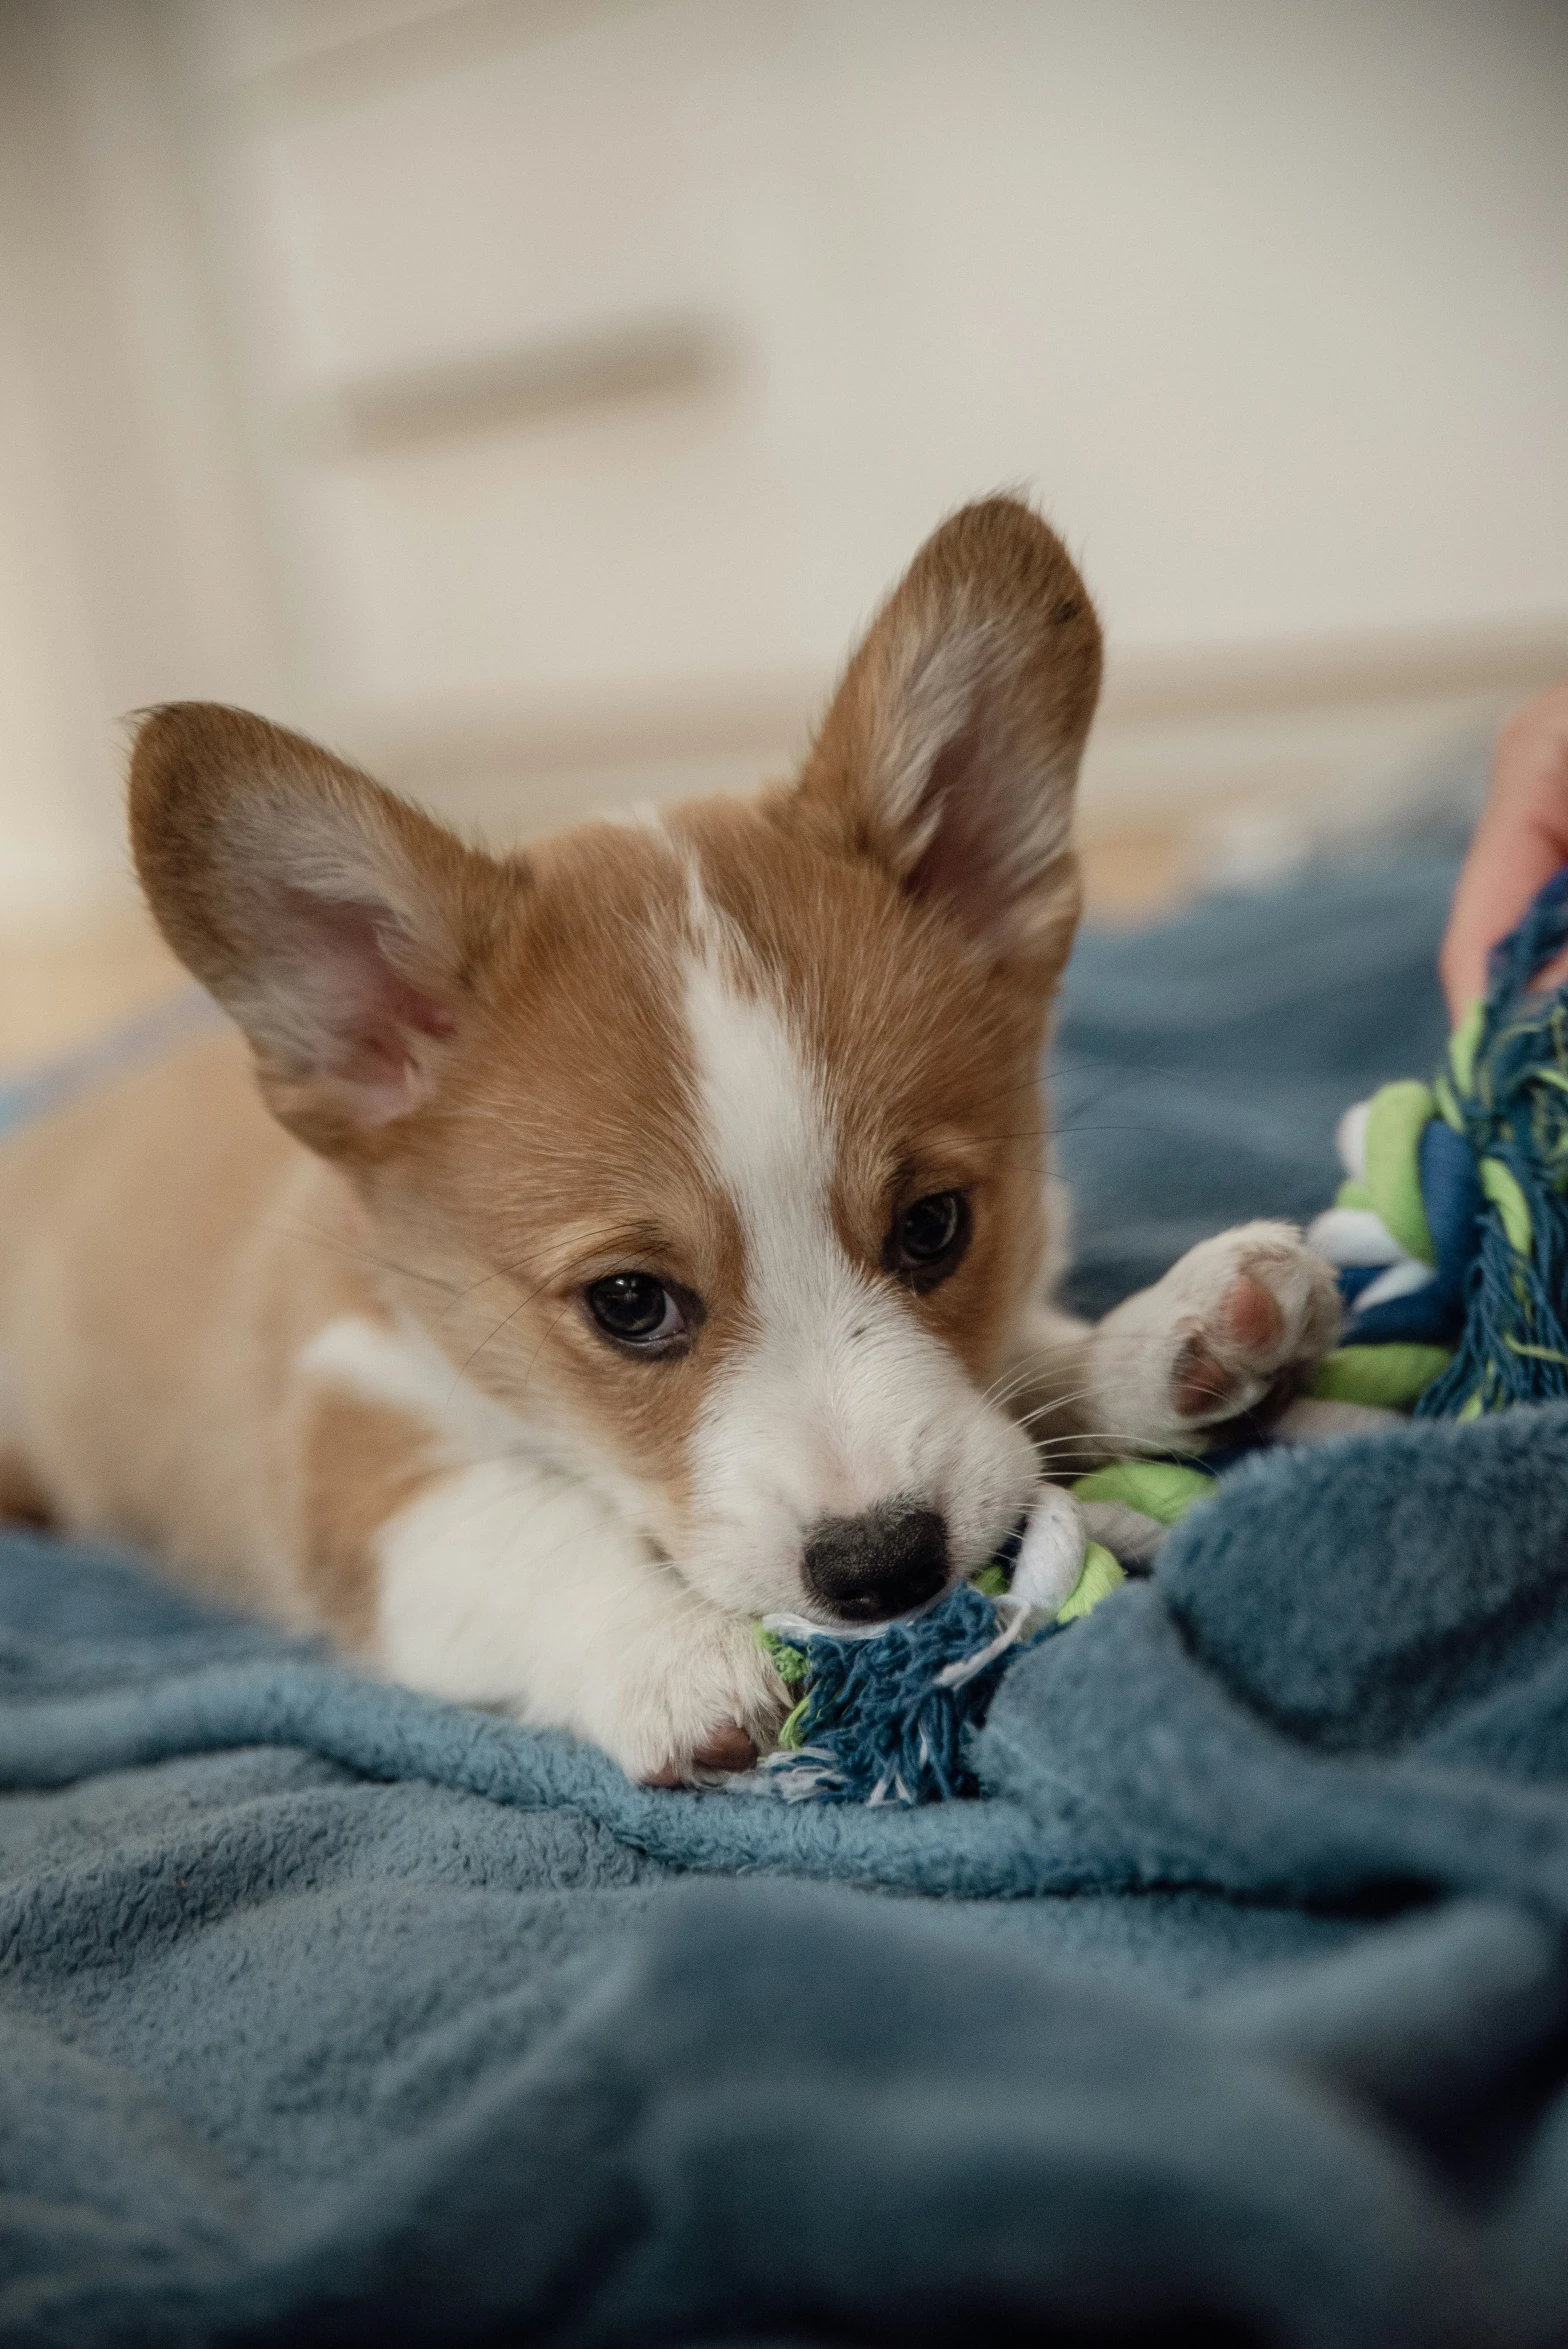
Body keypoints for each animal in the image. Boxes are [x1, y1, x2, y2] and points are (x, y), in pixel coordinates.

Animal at [0, 500, 1333, 1775]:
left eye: (933, 1226)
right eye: (628, 1303)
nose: (884, 1569)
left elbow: (1018, 1365)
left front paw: (1169, 1339)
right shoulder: (352, 1456)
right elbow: (515, 1529)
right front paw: (677, 1660)